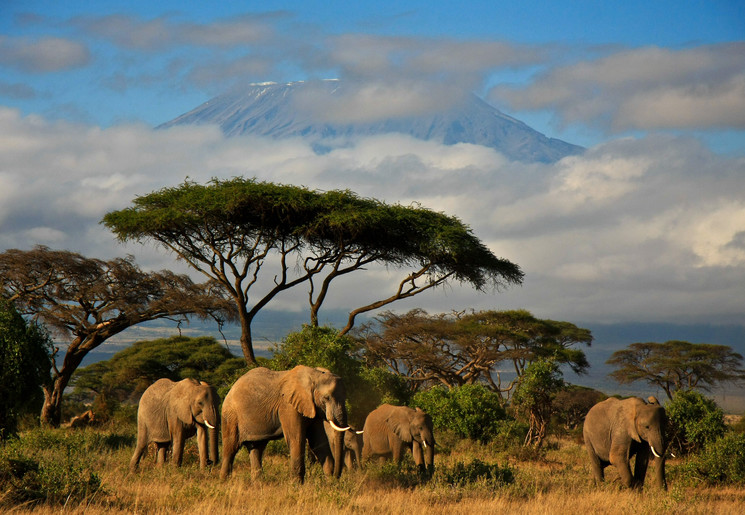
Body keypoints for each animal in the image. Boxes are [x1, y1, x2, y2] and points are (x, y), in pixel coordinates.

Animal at [219, 364, 350, 482]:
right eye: (326, 398)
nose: (336, 477)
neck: (314, 375)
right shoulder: (288, 406)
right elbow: (296, 439)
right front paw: (296, 486)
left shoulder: (314, 408)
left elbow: (318, 442)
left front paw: (329, 483)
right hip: (230, 416)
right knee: (230, 447)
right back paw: (224, 482)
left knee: (257, 448)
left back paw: (258, 484)